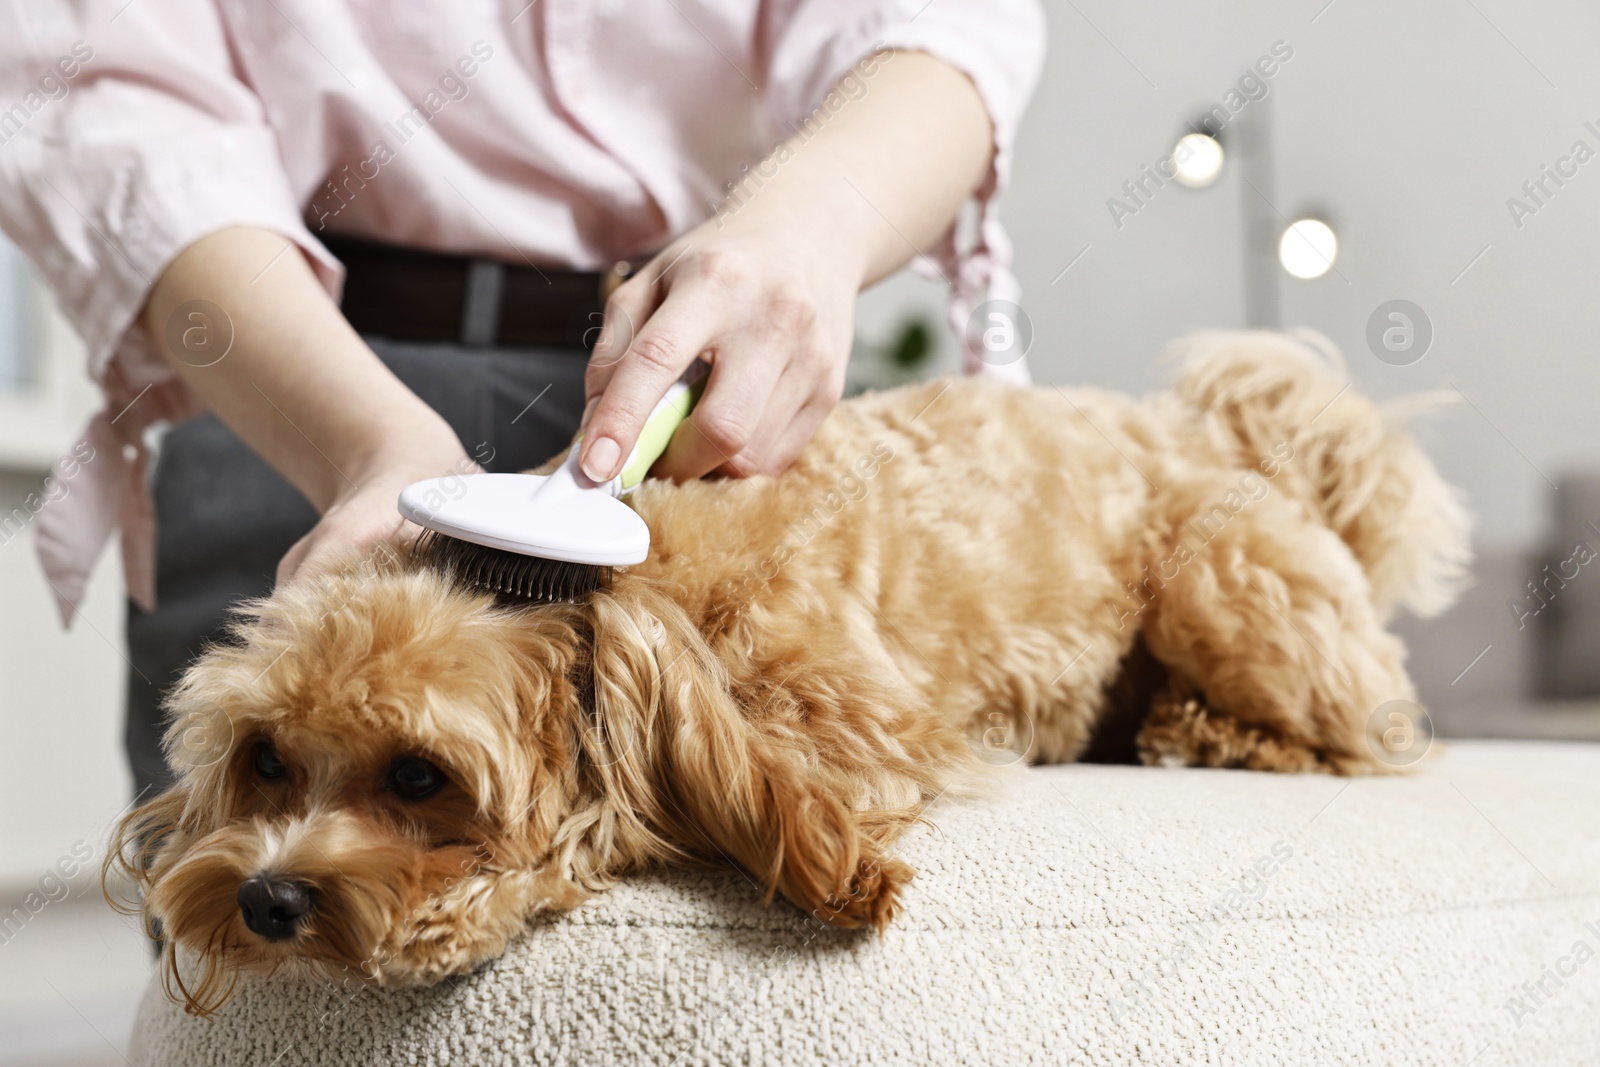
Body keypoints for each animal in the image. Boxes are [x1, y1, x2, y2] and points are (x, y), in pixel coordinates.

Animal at [109, 329, 1465, 1017]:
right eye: (266, 759)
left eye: (417, 776)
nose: (265, 899)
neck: (647, 581)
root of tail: (1211, 428)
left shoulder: (856, 727)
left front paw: (451, 909)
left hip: (1227, 593)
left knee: (1381, 739)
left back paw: (1215, 734)